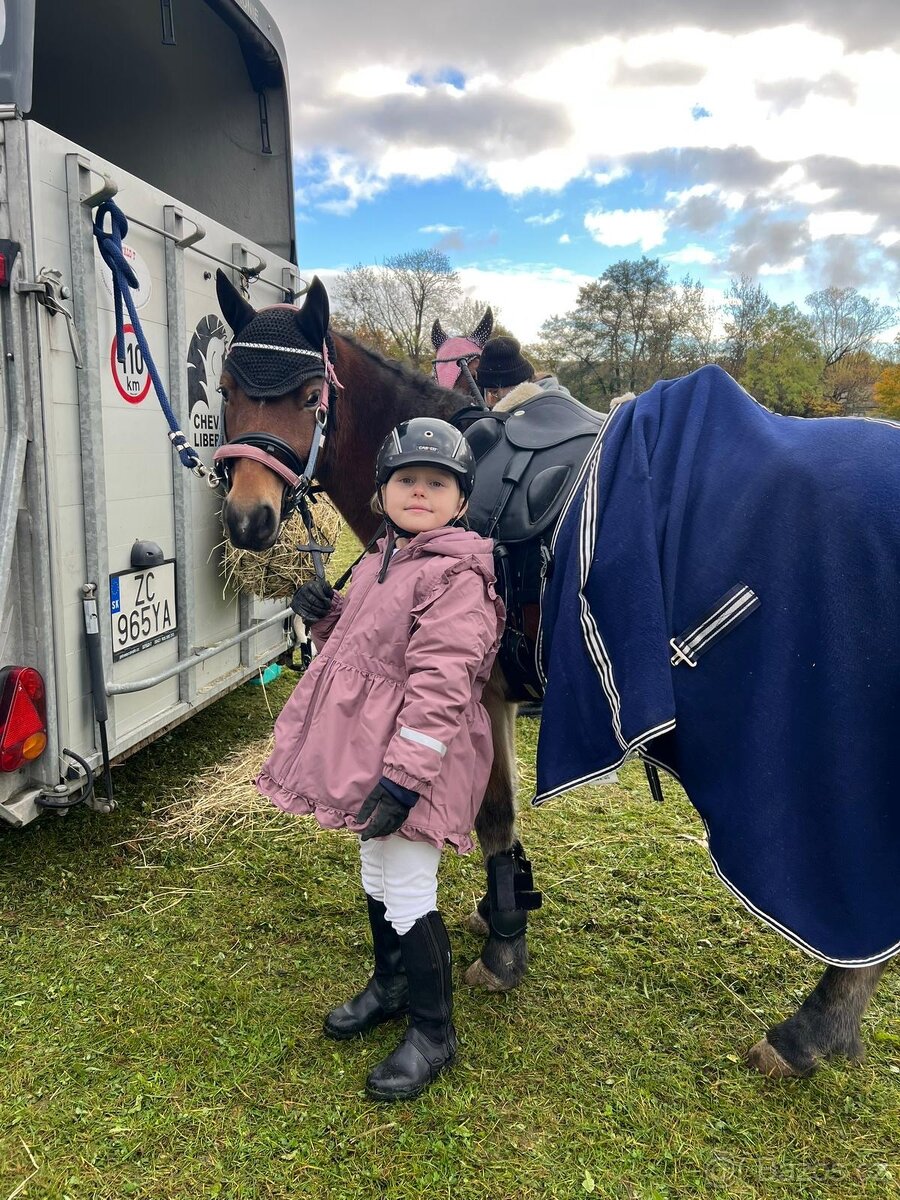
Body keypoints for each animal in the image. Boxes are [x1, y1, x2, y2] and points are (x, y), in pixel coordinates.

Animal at [213, 270, 897, 1079]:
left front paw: (504, 948)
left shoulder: (473, 695)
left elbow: (493, 813)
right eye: (227, 387)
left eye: (310, 392)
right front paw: (498, 911)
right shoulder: (504, 698)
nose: (248, 519)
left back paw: (810, 1032)